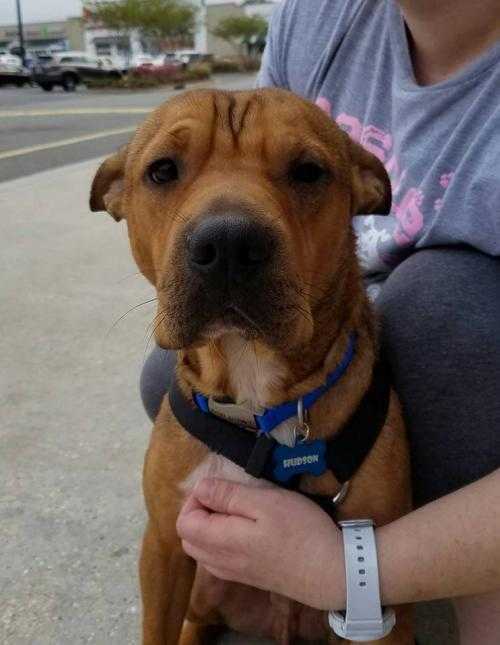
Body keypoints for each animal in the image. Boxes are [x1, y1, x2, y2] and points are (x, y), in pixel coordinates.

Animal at [92, 88, 412, 640]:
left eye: (308, 171)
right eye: (162, 170)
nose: (227, 244)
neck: (257, 406)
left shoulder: (391, 612)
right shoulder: (164, 546)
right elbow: (157, 629)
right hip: (203, 585)